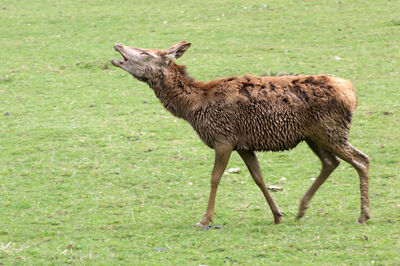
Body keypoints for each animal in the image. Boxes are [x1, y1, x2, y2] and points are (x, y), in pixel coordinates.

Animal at [110, 41, 372, 227]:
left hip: (331, 130)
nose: (117, 45)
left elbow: (215, 177)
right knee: (331, 162)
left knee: (361, 159)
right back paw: (301, 209)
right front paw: (277, 214)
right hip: (313, 135)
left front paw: (205, 219)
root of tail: (352, 94)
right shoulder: (244, 145)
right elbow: (259, 178)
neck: (192, 107)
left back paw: (363, 215)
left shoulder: (223, 137)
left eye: (145, 52)